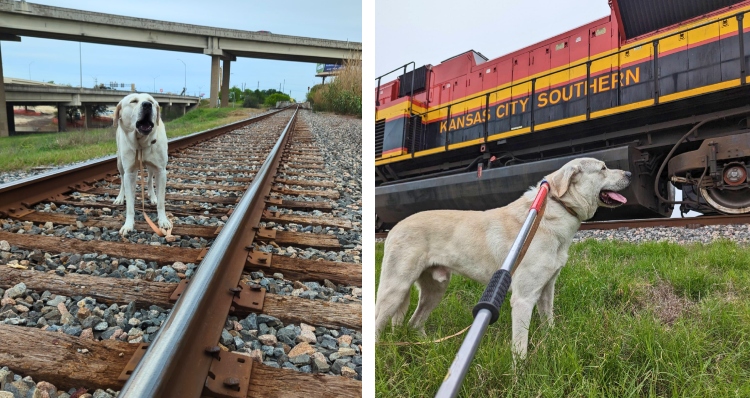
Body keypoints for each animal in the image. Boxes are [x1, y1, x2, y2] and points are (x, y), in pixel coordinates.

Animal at [113, 92, 172, 236]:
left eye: (151, 101)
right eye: (134, 101)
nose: (147, 105)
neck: (141, 143)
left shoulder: (161, 171)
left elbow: (161, 202)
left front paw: (163, 221)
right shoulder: (129, 173)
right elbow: (130, 205)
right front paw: (128, 224)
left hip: (151, 167)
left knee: (150, 179)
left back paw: (152, 196)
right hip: (119, 163)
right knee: (122, 180)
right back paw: (120, 197)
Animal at [376, 157, 636, 360]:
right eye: (603, 168)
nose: (630, 173)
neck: (555, 208)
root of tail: (395, 227)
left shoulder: (546, 289)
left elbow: (549, 324)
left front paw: (551, 344)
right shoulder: (523, 298)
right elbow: (520, 347)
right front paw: (519, 378)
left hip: (435, 289)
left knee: (413, 323)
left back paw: (426, 348)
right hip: (395, 288)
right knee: (379, 323)